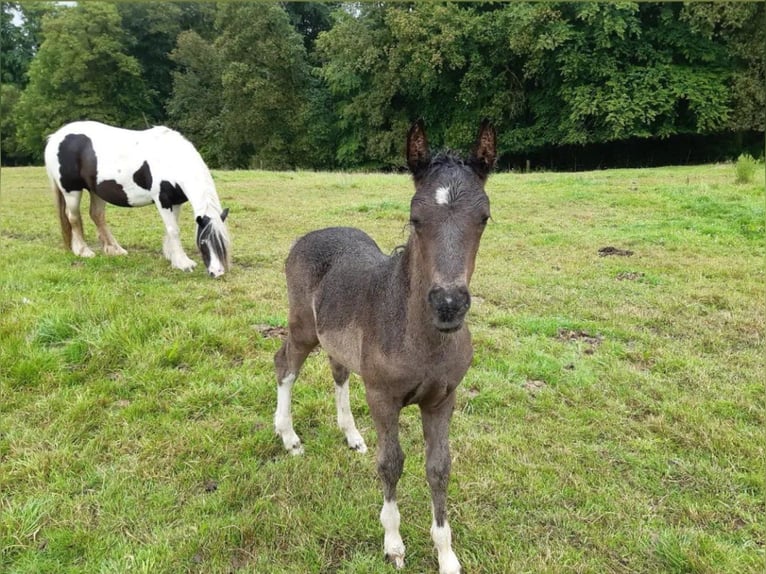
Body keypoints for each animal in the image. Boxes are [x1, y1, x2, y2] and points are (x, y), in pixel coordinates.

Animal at [43, 120, 230, 278]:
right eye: (203, 242)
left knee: (97, 215)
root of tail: (55, 137)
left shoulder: (175, 201)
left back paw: (115, 250)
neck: (170, 159)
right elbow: (173, 230)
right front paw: (183, 263)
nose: (217, 272)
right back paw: (84, 251)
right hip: (71, 191)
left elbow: (171, 229)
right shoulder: (162, 200)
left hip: (96, 190)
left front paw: (172, 257)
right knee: (73, 218)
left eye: (223, 242)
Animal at [276, 119, 498, 572]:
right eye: (415, 217)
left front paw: (446, 554)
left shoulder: (443, 399)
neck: (423, 338)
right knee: (284, 366)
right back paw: (288, 438)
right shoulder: (382, 396)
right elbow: (391, 464)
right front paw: (393, 543)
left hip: (336, 340)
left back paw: (352, 436)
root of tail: (310, 235)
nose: (448, 304)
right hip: (303, 328)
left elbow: (439, 468)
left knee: (338, 371)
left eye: (484, 217)